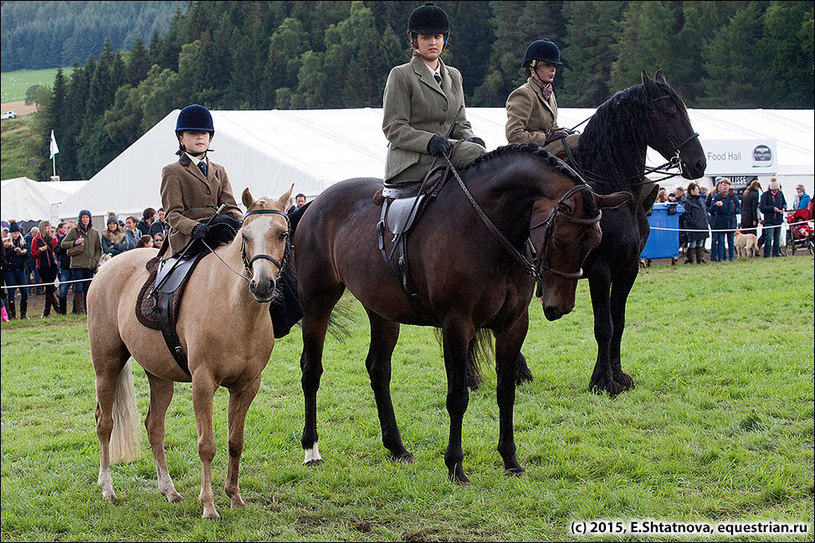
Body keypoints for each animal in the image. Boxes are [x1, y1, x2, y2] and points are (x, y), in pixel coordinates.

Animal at [88, 187, 294, 520]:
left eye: (282, 233)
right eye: (245, 235)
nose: (262, 285)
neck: (235, 308)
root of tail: (106, 266)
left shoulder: (248, 386)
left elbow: (235, 441)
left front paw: (234, 497)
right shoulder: (203, 383)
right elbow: (207, 445)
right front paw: (209, 505)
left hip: (159, 376)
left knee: (154, 427)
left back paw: (168, 490)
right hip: (107, 365)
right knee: (104, 423)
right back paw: (108, 489)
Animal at [296, 144, 628, 484]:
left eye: (596, 241)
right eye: (560, 239)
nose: (558, 307)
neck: (486, 230)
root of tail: (315, 204)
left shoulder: (513, 326)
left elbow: (506, 392)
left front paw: (511, 459)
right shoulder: (457, 326)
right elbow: (457, 398)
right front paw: (455, 465)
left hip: (382, 311)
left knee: (378, 370)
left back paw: (397, 447)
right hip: (317, 303)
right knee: (311, 370)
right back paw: (311, 449)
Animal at [524, 70, 708, 398]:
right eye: (669, 112)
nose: (698, 163)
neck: (610, 186)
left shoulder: (628, 268)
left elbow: (618, 323)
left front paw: (619, 376)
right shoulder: (600, 270)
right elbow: (603, 326)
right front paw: (602, 381)